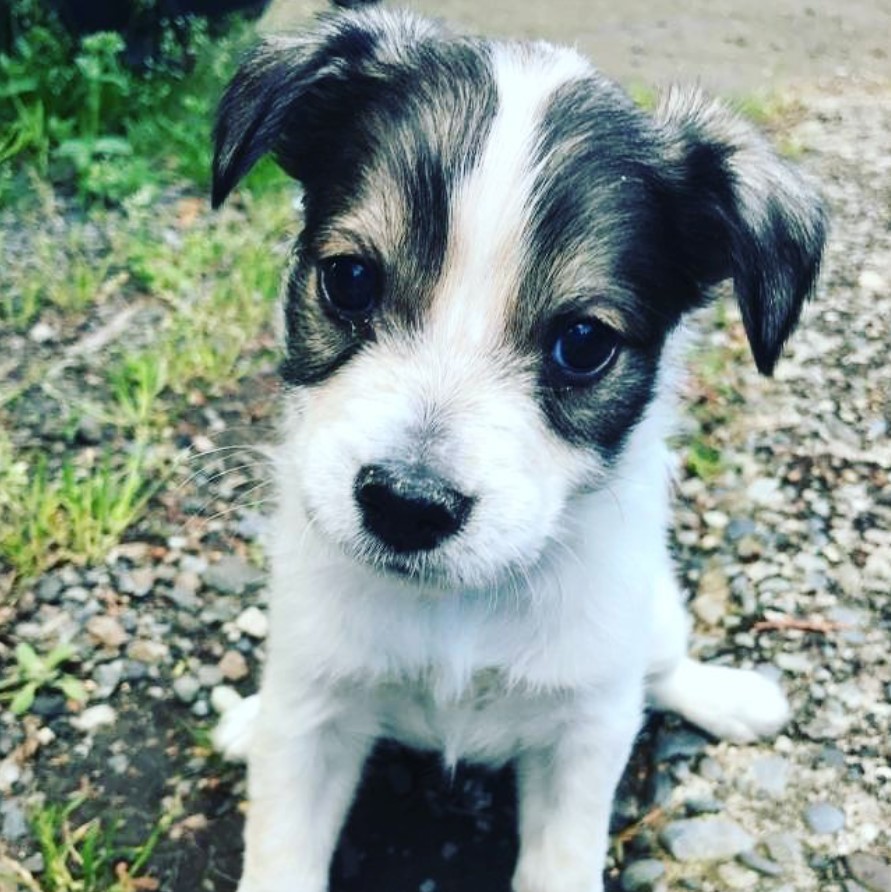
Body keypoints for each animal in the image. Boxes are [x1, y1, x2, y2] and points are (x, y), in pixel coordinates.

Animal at [213, 3, 824, 888]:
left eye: (582, 343)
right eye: (350, 279)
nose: (407, 506)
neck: (460, 608)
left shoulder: (584, 735)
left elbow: (560, 859)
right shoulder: (311, 714)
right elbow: (282, 851)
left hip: (651, 618)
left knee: (664, 668)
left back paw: (728, 697)